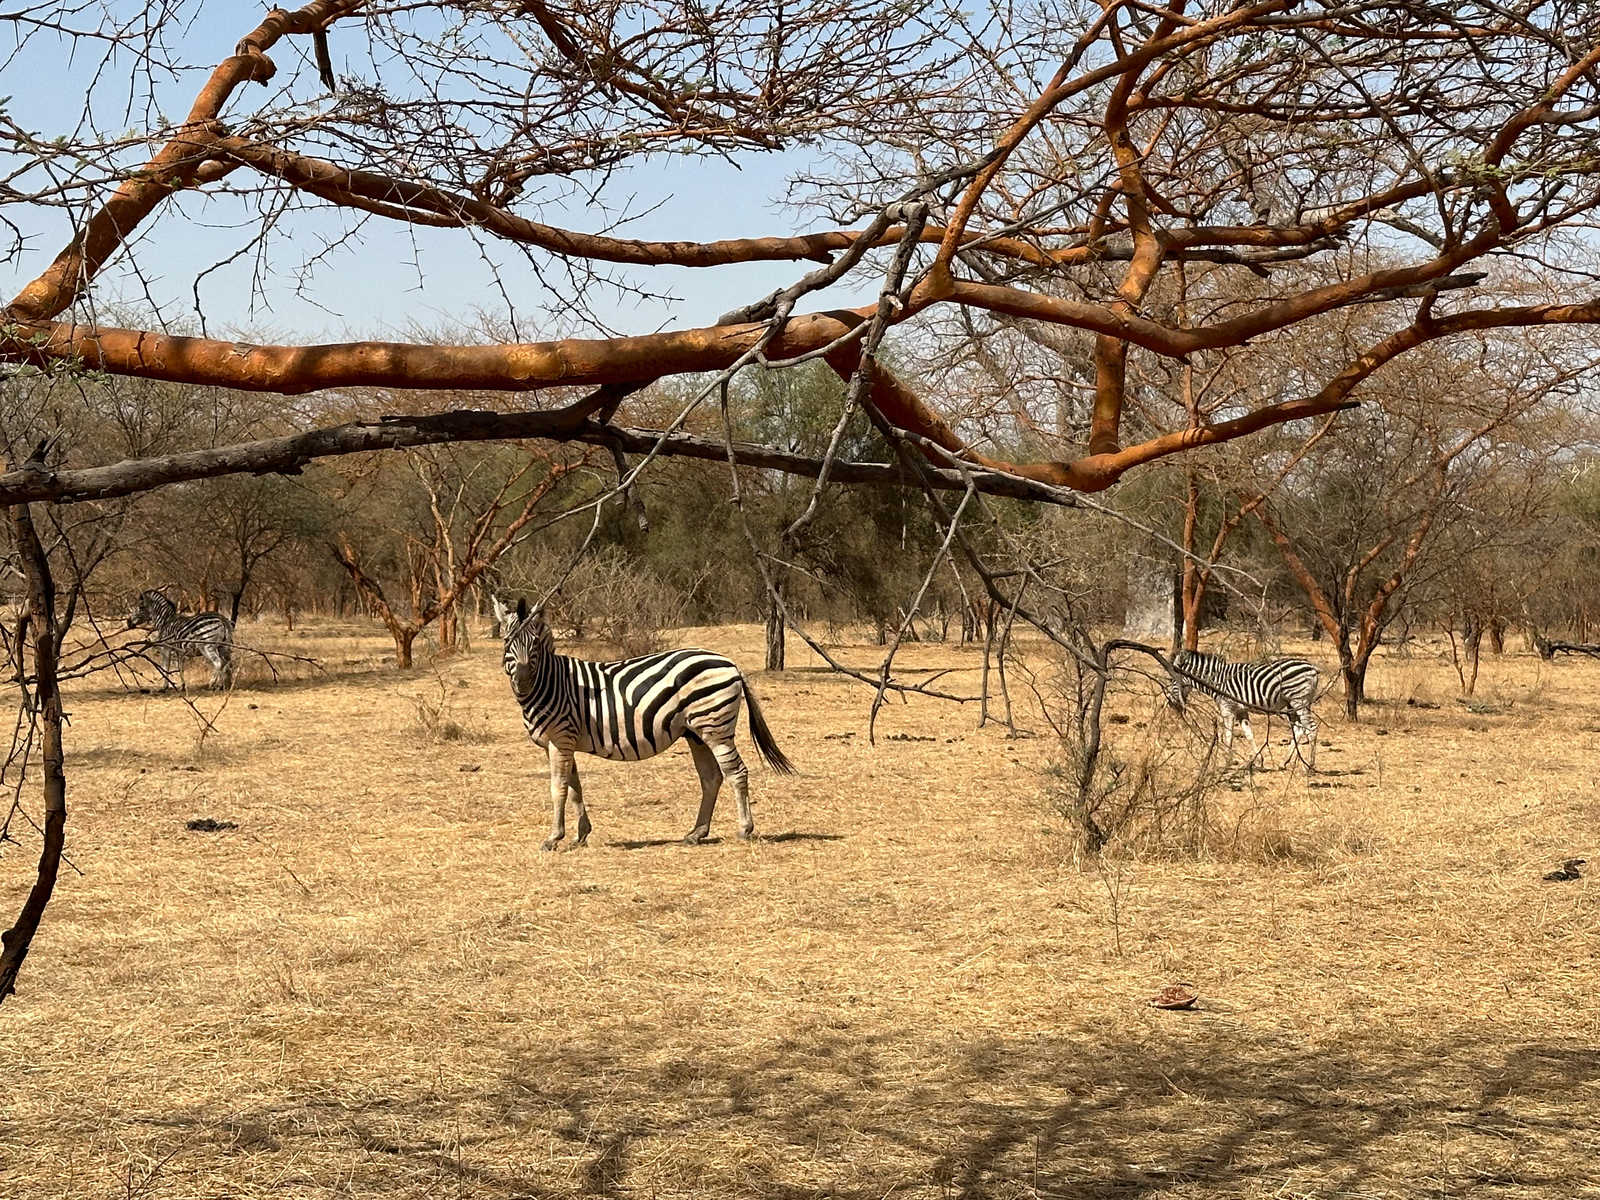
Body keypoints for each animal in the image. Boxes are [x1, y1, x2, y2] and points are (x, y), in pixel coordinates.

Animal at [493, 595, 794, 850]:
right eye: (508, 643)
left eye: (534, 645)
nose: (522, 682)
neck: (552, 683)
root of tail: (730, 663)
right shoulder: (564, 742)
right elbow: (575, 788)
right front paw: (581, 834)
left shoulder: (559, 739)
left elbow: (559, 788)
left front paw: (553, 838)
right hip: (695, 733)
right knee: (711, 777)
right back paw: (696, 833)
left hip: (715, 727)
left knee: (736, 772)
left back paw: (744, 829)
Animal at [1164, 648, 1319, 770]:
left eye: (1172, 680)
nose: (1171, 703)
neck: (1217, 680)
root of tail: (1312, 668)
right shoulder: (1241, 710)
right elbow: (1248, 734)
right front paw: (1258, 760)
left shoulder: (1227, 708)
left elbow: (1228, 735)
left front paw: (1227, 762)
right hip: (1292, 704)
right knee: (1299, 729)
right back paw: (1284, 762)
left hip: (1299, 700)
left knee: (1311, 728)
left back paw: (1309, 766)